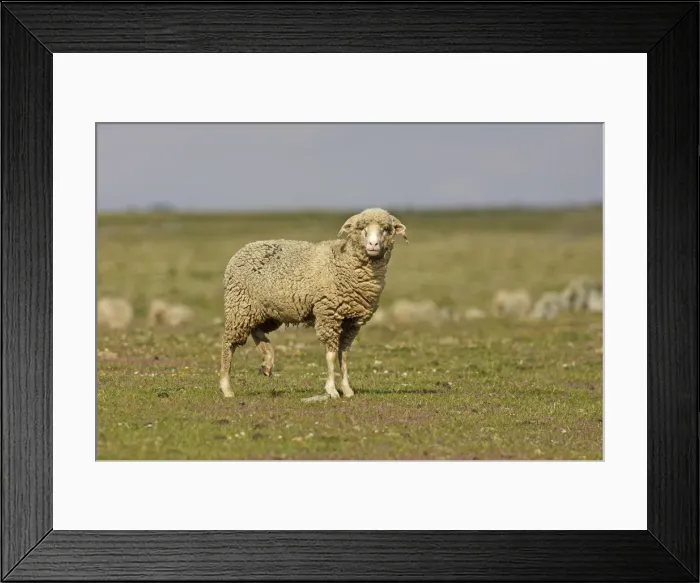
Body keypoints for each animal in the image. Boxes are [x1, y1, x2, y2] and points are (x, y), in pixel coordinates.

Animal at [219, 208, 408, 399]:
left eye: (386, 229)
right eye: (361, 228)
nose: (373, 245)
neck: (345, 261)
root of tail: (243, 249)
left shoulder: (352, 321)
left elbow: (344, 355)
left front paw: (347, 389)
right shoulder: (329, 314)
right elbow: (331, 355)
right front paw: (332, 389)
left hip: (267, 310)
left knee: (256, 329)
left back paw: (267, 360)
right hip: (239, 304)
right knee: (229, 343)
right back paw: (226, 387)